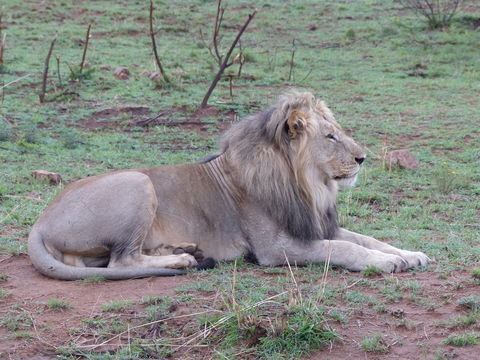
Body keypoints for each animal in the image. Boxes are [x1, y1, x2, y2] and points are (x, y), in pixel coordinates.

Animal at [28, 91, 430, 280]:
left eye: (339, 132)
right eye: (330, 137)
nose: (362, 158)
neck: (310, 187)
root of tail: (39, 223)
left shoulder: (315, 225)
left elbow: (367, 239)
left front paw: (410, 254)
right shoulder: (276, 248)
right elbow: (344, 249)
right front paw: (387, 263)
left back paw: (182, 250)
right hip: (137, 181)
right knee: (121, 262)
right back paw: (183, 259)